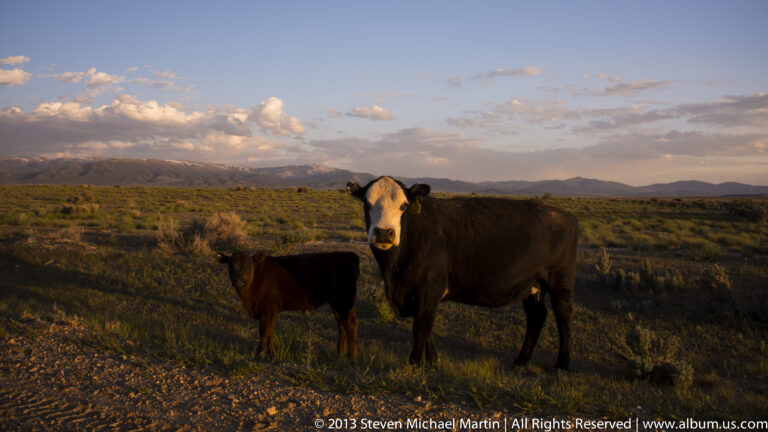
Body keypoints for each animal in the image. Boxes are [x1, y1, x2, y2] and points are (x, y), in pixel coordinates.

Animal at [217, 250, 360, 360]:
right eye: (230, 267)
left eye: (248, 266)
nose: (238, 281)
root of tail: (347, 254)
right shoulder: (271, 312)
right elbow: (270, 332)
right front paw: (272, 355)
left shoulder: (268, 310)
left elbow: (264, 332)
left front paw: (259, 355)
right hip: (336, 303)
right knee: (341, 323)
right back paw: (339, 354)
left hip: (344, 301)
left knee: (350, 324)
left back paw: (351, 358)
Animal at [347, 176, 578, 370]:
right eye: (366, 204)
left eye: (404, 205)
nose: (384, 232)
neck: (394, 272)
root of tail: (564, 214)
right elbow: (426, 328)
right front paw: (433, 361)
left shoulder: (430, 288)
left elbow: (421, 327)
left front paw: (414, 364)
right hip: (532, 285)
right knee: (536, 316)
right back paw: (521, 360)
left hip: (560, 281)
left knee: (563, 315)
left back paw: (562, 363)